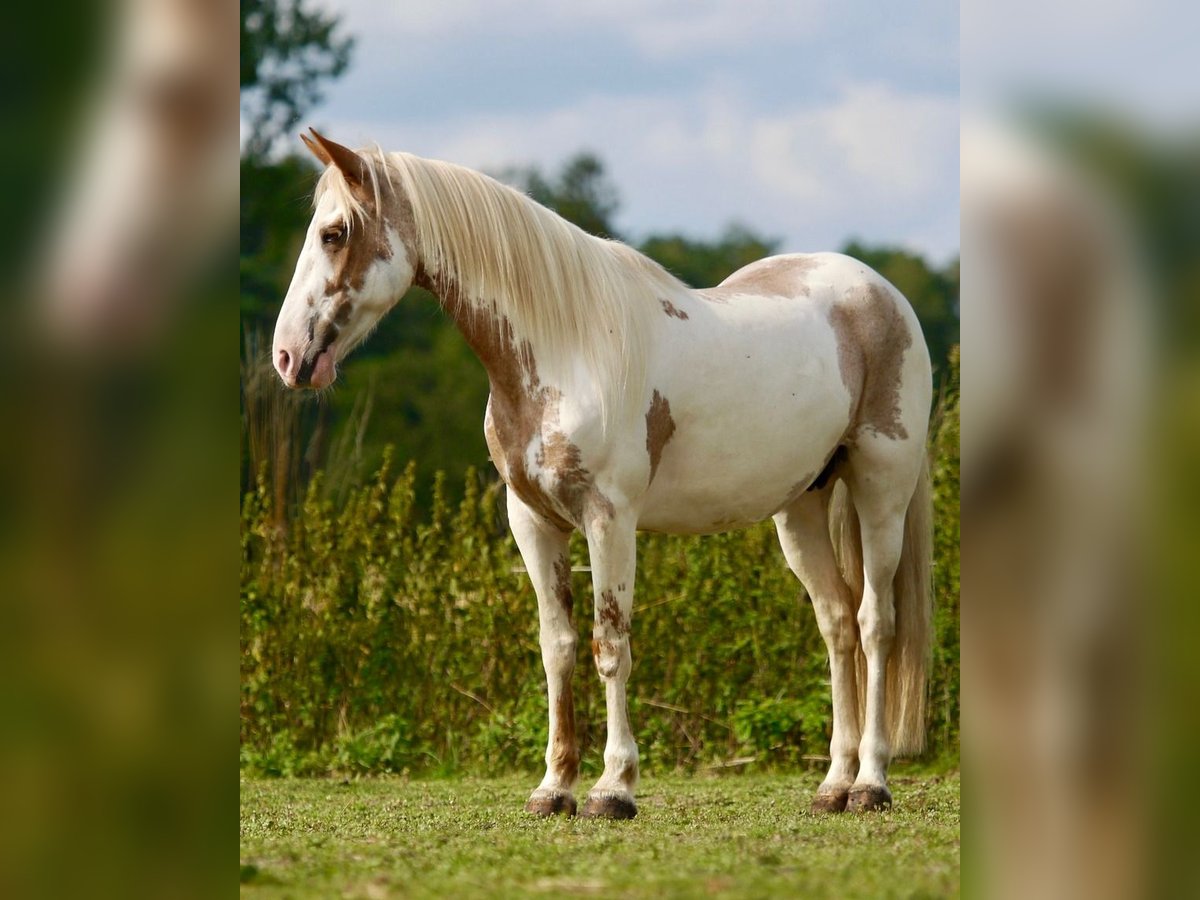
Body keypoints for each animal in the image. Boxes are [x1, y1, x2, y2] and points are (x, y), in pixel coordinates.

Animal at [274, 130, 936, 820]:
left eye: (334, 233)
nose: (288, 357)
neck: (567, 348)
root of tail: (882, 295)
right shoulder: (533, 522)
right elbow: (558, 647)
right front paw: (553, 787)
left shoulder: (609, 519)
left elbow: (610, 644)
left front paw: (613, 788)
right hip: (802, 507)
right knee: (836, 624)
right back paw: (834, 784)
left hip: (881, 492)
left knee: (875, 624)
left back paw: (871, 783)